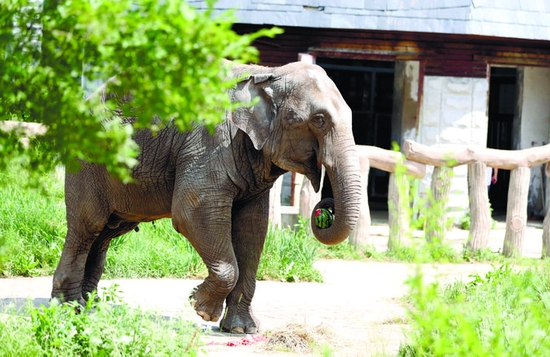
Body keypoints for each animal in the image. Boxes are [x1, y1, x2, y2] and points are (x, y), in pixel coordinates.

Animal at [50, 59, 362, 332]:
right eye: (319, 120)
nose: (324, 209)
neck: (268, 73)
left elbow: (252, 229)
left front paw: (241, 330)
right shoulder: (209, 142)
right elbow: (191, 213)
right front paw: (201, 309)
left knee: (106, 232)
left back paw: (90, 307)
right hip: (87, 160)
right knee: (87, 226)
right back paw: (70, 309)